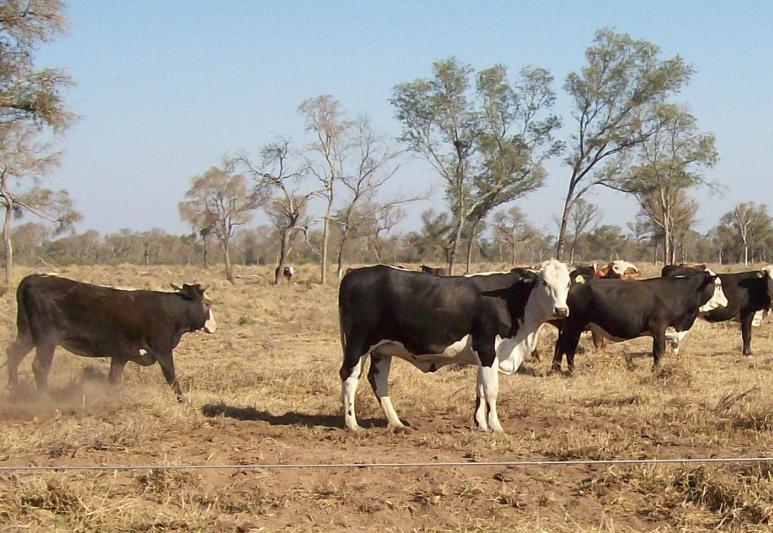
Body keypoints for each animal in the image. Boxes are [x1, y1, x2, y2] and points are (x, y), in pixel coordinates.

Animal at [6, 274, 217, 400]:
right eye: (207, 303)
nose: (214, 326)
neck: (170, 309)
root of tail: (33, 279)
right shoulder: (162, 349)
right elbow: (170, 374)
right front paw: (183, 399)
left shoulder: (121, 355)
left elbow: (114, 377)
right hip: (47, 340)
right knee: (40, 366)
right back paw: (45, 398)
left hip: (27, 336)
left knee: (13, 355)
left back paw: (13, 390)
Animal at [552, 268, 728, 372]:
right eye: (718, 285)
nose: (726, 302)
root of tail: (574, 285)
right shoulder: (658, 327)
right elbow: (659, 351)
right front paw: (656, 371)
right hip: (575, 326)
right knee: (569, 347)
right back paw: (571, 370)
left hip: (570, 327)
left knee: (560, 344)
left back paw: (556, 368)